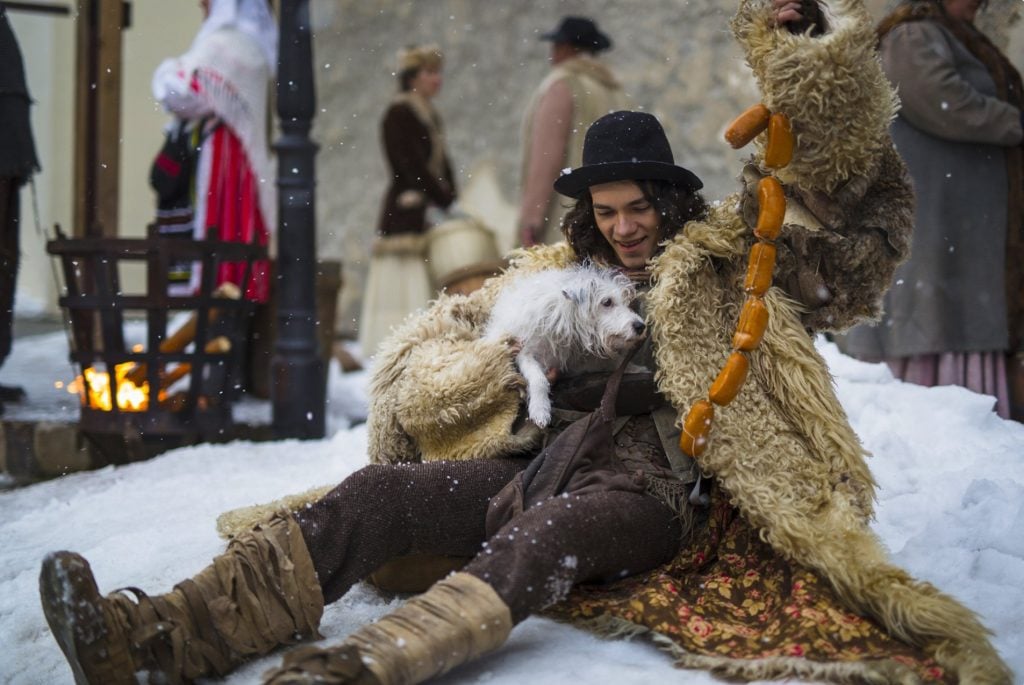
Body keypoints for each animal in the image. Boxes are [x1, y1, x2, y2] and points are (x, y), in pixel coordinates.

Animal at [483, 264, 643, 423]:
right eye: (607, 302)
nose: (641, 326)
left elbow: (615, 363)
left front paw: (635, 368)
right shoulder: (524, 353)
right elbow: (538, 379)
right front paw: (540, 408)